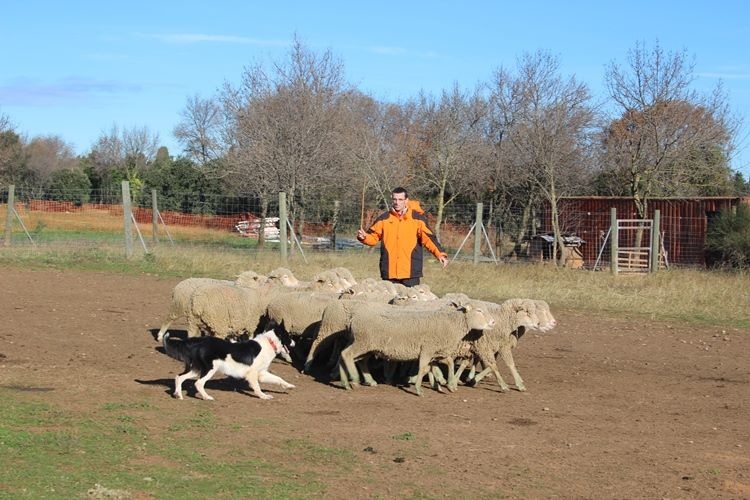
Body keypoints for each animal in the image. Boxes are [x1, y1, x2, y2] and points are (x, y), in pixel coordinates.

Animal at [164, 330, 296, 400]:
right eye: (289, 337)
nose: (294, 343)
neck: (269, 343)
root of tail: (197, 341)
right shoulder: (252, 374)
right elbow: (257, 387)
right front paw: (263, 396)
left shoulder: (262, 374)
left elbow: (278, 378)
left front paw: (289, 386)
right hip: (210, 369)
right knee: (198, 383)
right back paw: (207, 397)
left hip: (196, 369)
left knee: (179, 377)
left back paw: (178, 395)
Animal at [338, 298, 496, 396]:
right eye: (479, 311)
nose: (493, 322)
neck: (452, 323)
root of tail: (353, 319)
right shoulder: (427, 349)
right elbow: (424, 368)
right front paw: (419, 389)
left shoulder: (436, 352)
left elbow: (448, 363)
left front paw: (448, 385)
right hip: (363, 342)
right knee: (346, 354)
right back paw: (354, 379)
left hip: (366, 345)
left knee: (346, 357)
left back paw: (349, 383)